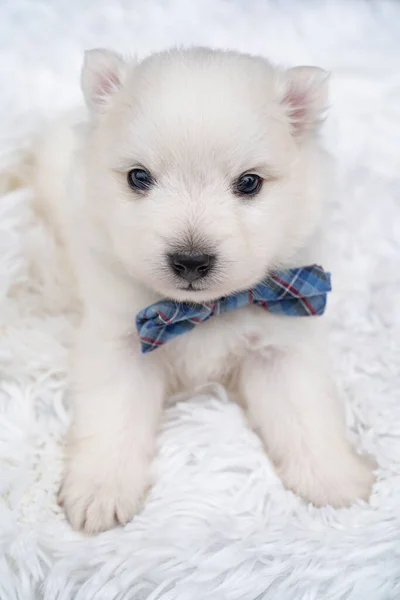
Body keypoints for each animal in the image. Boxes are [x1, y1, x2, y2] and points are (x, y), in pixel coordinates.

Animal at [29, 48, 374, 536]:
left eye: (249, 182)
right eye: (138, 177)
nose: (191, 261)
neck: (202, 310)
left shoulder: (281, 345)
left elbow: (305, 412)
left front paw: (335, 481)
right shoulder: (120, 341)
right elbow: (113, 416)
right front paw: (99, 492)